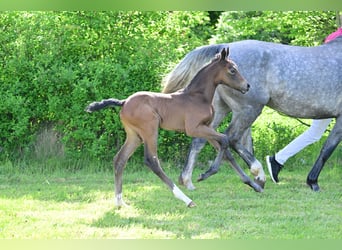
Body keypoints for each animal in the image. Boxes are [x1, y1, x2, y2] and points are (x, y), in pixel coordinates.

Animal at [86, 47, 248, 208]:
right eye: (232, 70)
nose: (247, 86)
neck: (197, 96)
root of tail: (124, 102)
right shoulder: (194, 128)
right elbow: (225, 139)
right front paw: (206, 174)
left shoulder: (206, 127)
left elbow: (224, 148)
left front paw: (252, 183)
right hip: (150, 130)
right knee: (152, 161)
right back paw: (186, 200)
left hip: (135, 135)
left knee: (120, 159)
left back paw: (120, 202)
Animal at [163, 38, 342, 191]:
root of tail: (224, 46)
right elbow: (327, 149)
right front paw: (313, 182)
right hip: (249, 109)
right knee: (231, 138)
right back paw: (257, 174)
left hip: (221, 108)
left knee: (202, 139)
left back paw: (188, 180)